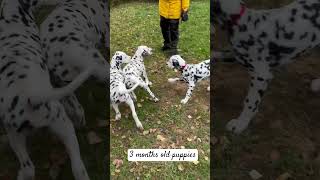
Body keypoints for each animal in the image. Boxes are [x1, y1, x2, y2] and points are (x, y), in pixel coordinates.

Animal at [212, 0, 320, 133]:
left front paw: (241, 123)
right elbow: (214, 55)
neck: (242, 21)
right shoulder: (234, 55)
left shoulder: (261, 76)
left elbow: (250, 101)